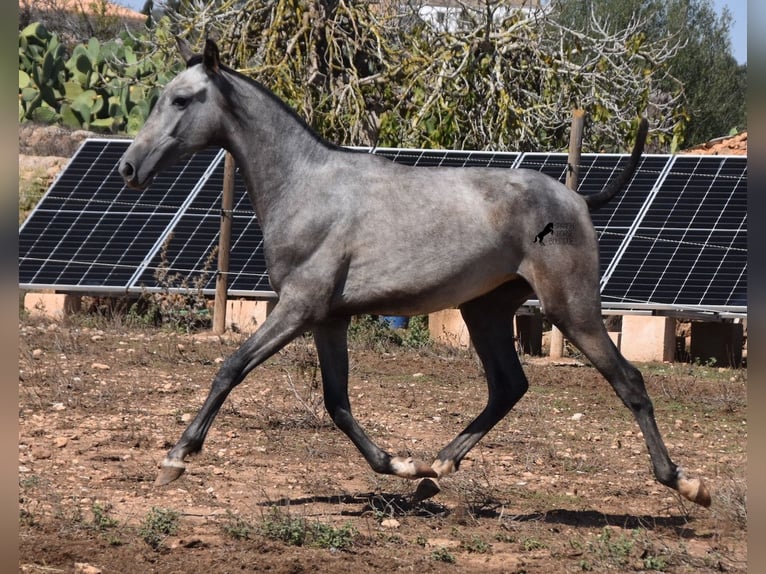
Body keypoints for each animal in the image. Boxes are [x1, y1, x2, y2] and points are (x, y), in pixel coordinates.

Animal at [120, 39, 712, 508]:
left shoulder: (298, 307)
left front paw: (176, 459)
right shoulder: (328, 320)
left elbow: (231, 368)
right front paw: (402, 465)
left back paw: (686, 484)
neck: (306, 187)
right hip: (485, 310)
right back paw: (437, 468)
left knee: (628, 381)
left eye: (181, 99)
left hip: (572, 309)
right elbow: (337, 403)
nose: (129, 167)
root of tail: (578, 198)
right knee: (508, 386)